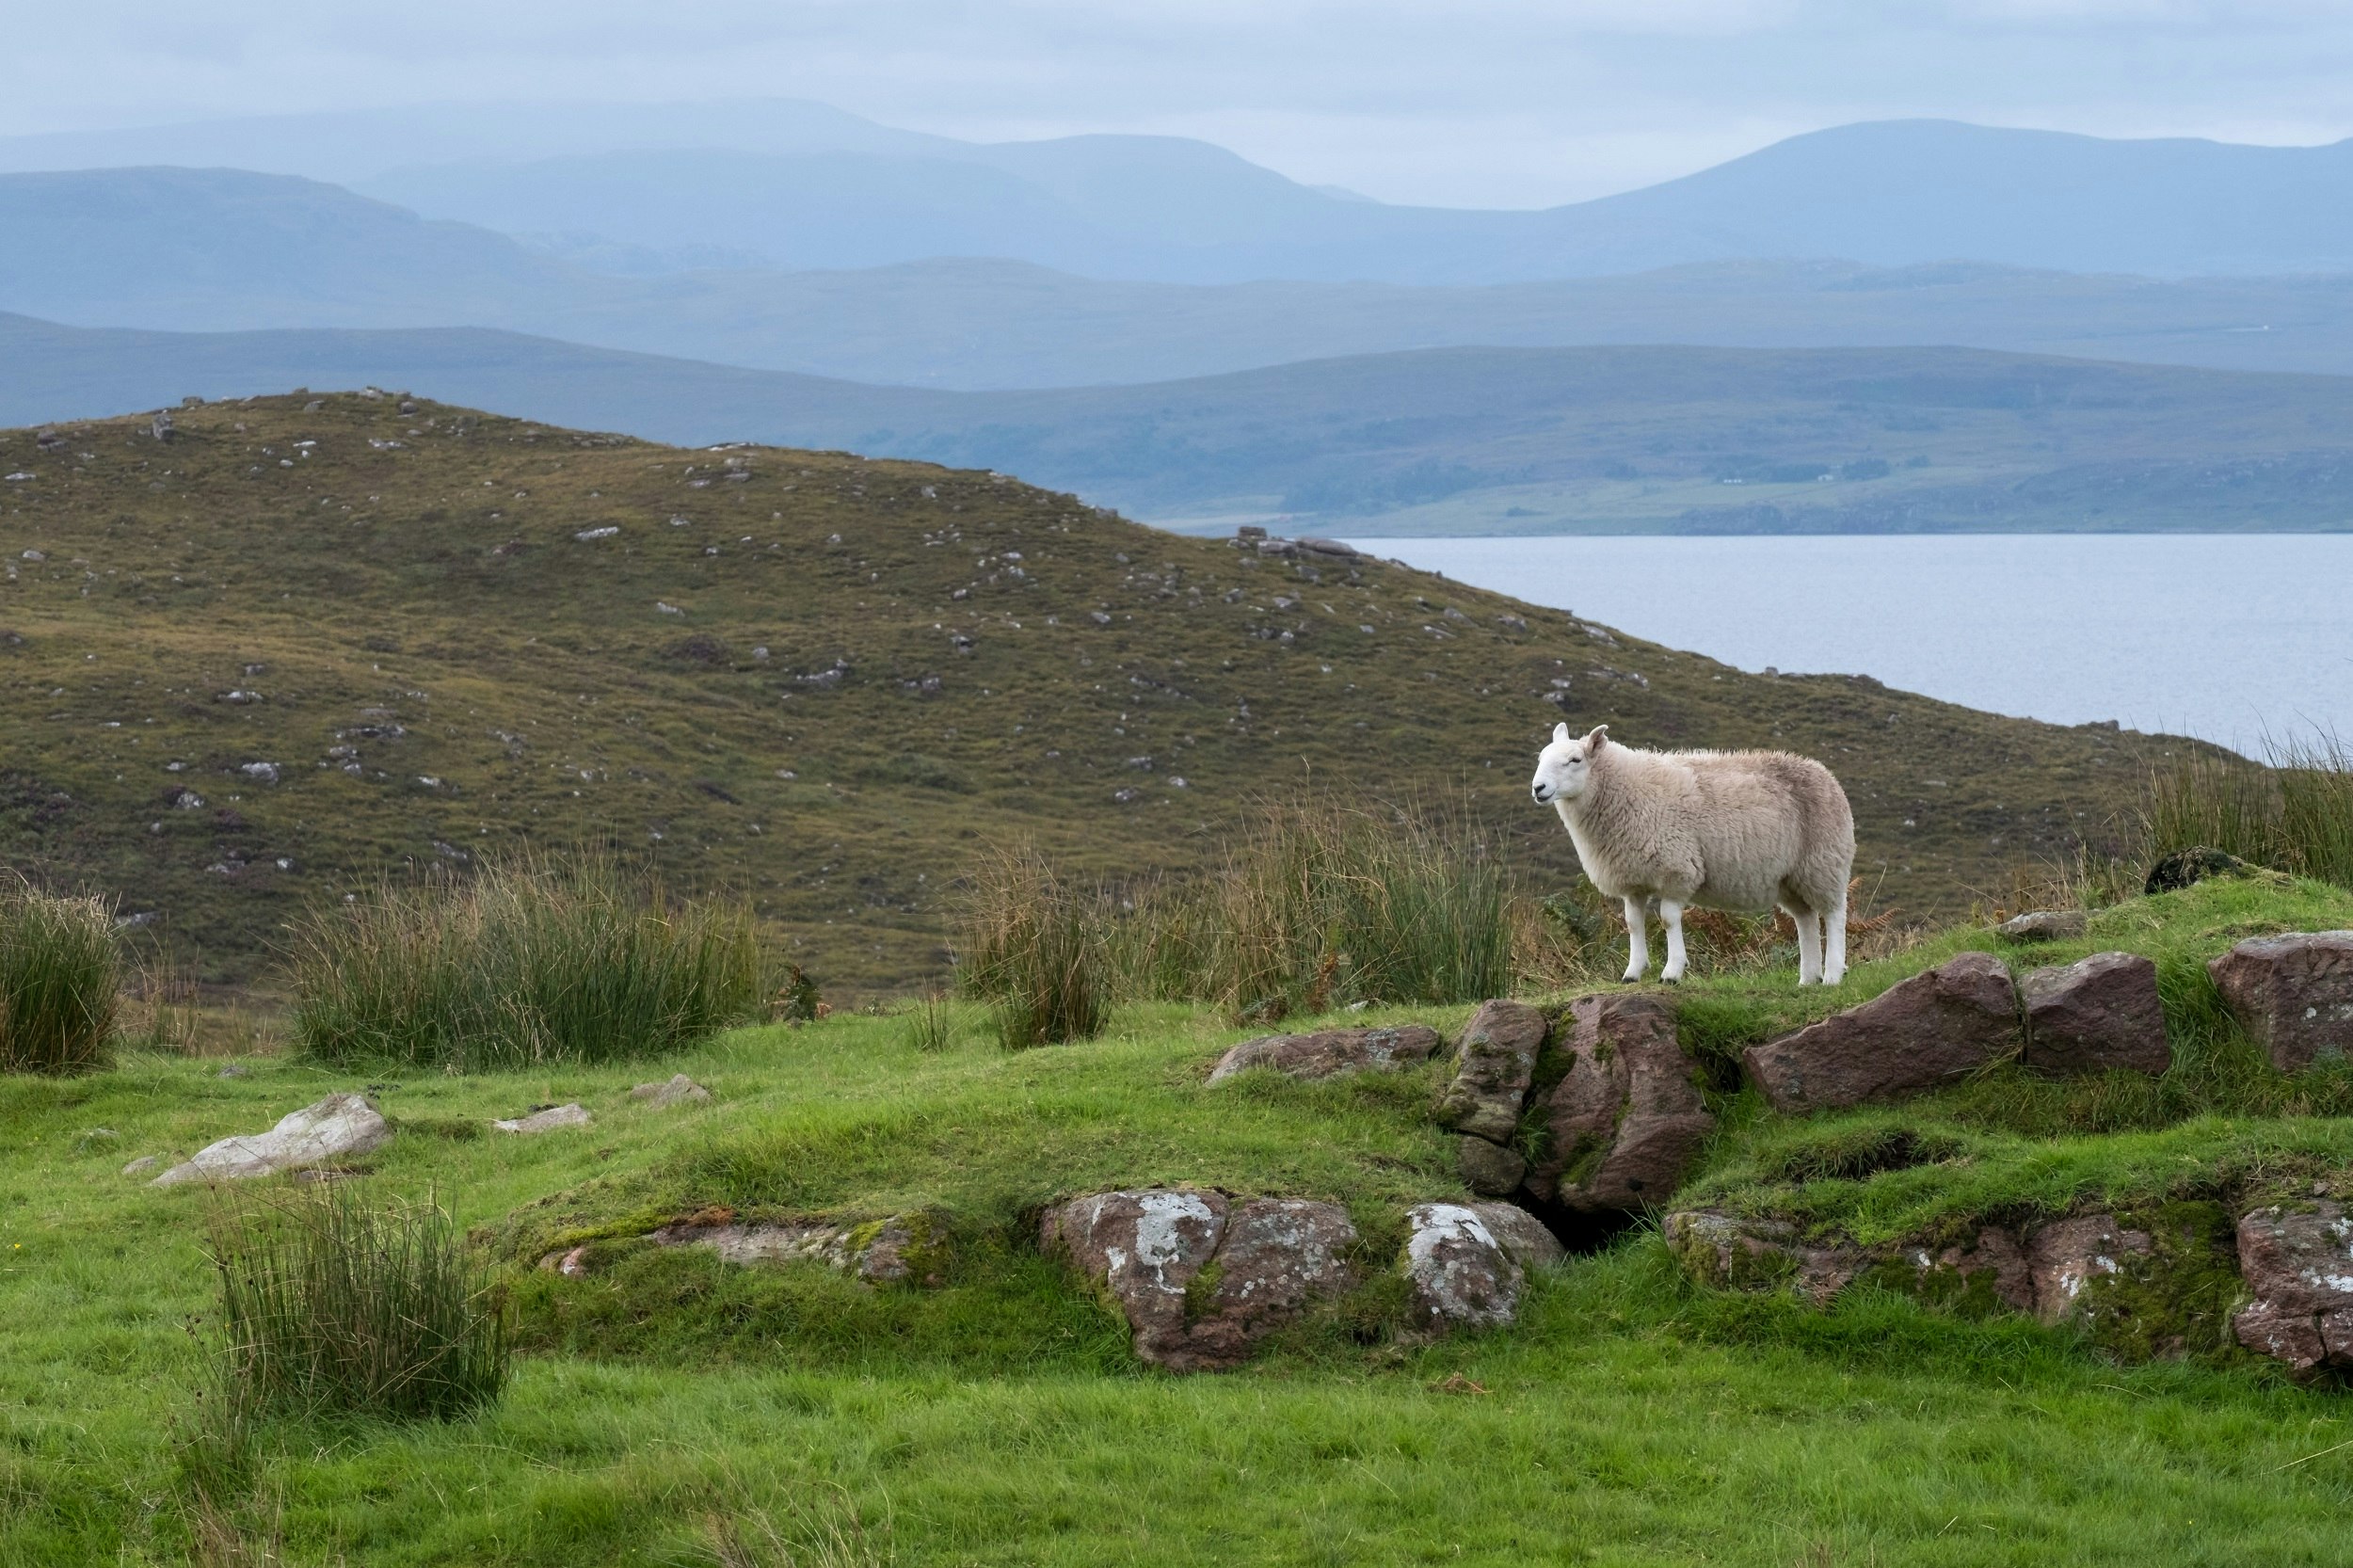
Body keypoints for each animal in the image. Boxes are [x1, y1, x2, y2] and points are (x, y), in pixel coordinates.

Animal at [1525, 720, 1854, 979]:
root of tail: (1823, 773)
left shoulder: (1677, 869)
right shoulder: (1633, 878)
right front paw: (1633, 972)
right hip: (1790, 877)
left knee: (1834, 914)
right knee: (1806, 919)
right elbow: (1633, 924)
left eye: (1575, 759)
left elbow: (1669, 919)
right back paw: (1808, 978)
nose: (1538, 788)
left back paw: (1833, 975)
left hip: (1824, 862)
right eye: (1541, 758)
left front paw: (1672, 972)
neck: (1626, 788)